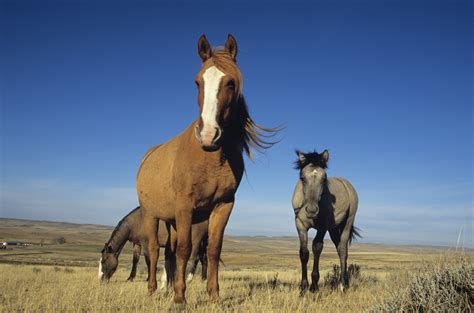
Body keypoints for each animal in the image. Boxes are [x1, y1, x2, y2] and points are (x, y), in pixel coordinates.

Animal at [136, 34, 278, 302]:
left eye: (231, 83)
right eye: (197, 82)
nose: (209, 135)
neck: (209, 159)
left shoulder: (223, 205)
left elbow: (212, 249)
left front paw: (214, 295)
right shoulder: (185, 206)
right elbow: (185, 249)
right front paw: (179, 299)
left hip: (170, 220)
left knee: (168, 251)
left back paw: (166, 288)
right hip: (151, 215)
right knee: (154, 249)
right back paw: (151, 290)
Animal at [290, 150, 362, 294]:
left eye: (324, 179)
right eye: (302, 178)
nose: (311, 209)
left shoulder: (322, 227)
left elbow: (317, 247)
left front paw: (314, 286)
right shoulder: (300, 225)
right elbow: (304, 253)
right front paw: (303, 287)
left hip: (347, 223)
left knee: (342, 250)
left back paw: (342, 285)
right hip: (333, 229)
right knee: (340, 248)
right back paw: (346, 283)